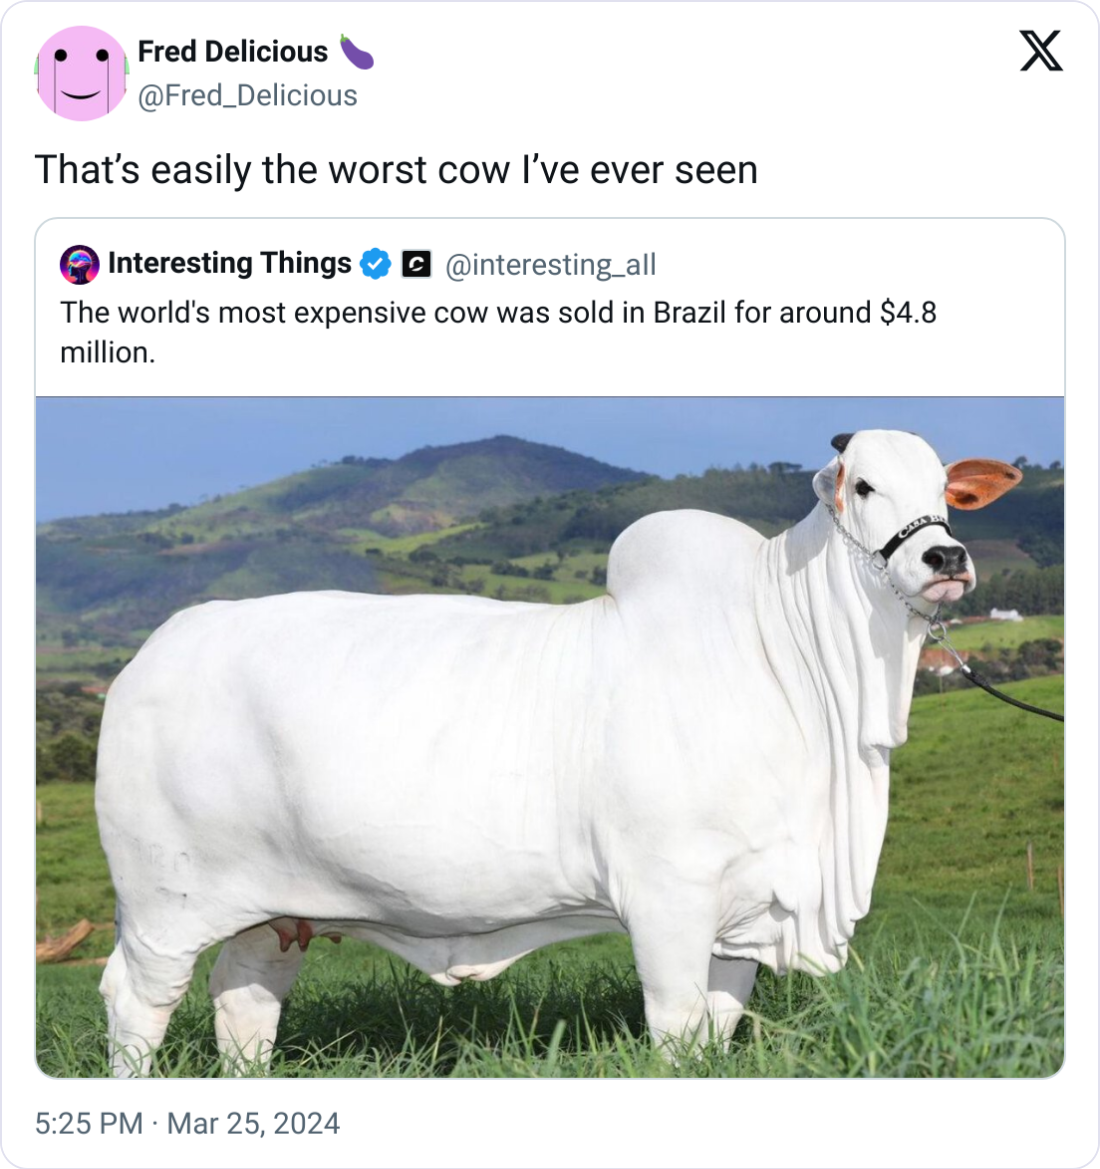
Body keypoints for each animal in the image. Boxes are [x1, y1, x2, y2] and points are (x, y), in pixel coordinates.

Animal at [95, 430, 1022, 1075]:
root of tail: (148, 657)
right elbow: (677, 1029)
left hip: (274, 912)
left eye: (946, 491)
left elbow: (717, 1030)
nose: (946, 556)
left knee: (244, 1000)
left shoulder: (744, 910)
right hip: (164, 904)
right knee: (135, 1002)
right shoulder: (668, 897)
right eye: (863, 484)